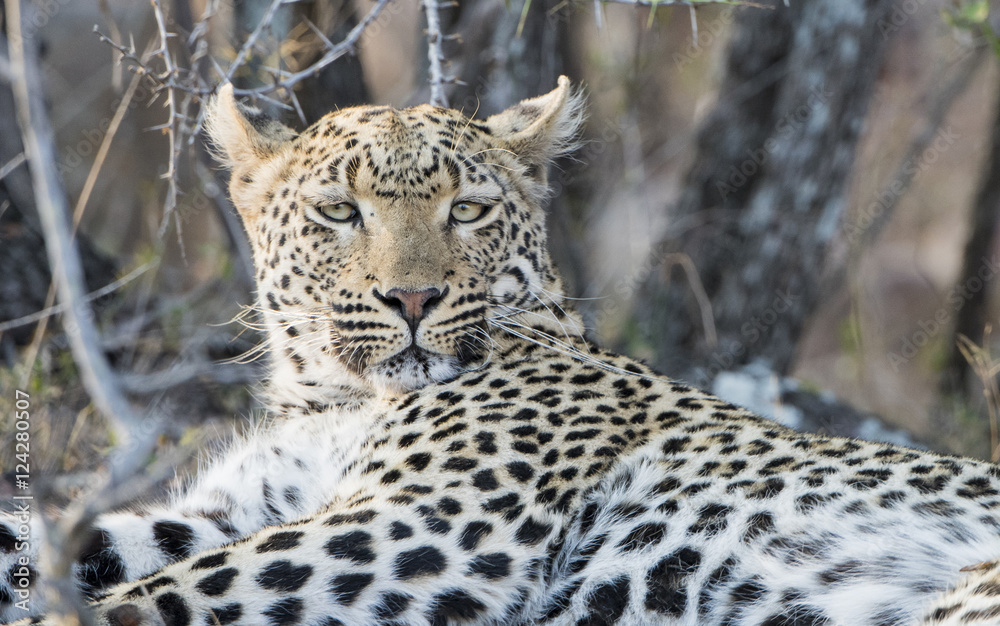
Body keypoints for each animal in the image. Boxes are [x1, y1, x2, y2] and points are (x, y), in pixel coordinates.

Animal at [3, 76, 1000, 626]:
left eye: (469, 211)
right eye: (340, 211)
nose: (412, 298)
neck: (336, 397)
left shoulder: (423, 522)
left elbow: (154, 595)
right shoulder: (240, 507)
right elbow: (69, 541)